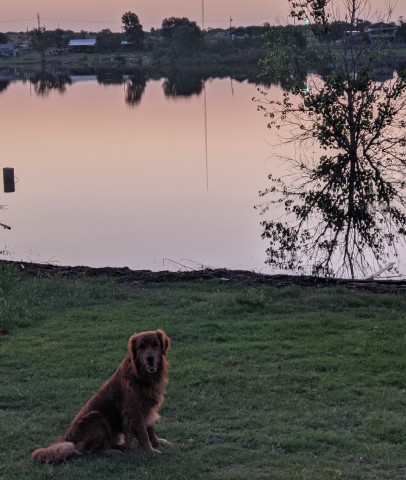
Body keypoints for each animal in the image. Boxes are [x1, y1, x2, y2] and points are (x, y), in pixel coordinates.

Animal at [32, 330, 170, 462]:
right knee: (87, 451)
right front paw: (150, 450)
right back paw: (113, 451)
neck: (142, 376)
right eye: (141, 347)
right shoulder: (134, 410)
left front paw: (156, 442)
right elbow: (143, 433)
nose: (150, 358)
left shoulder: (149, 407)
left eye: (155, 345)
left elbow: (150, 428)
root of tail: (66, 438)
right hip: (96, 417)